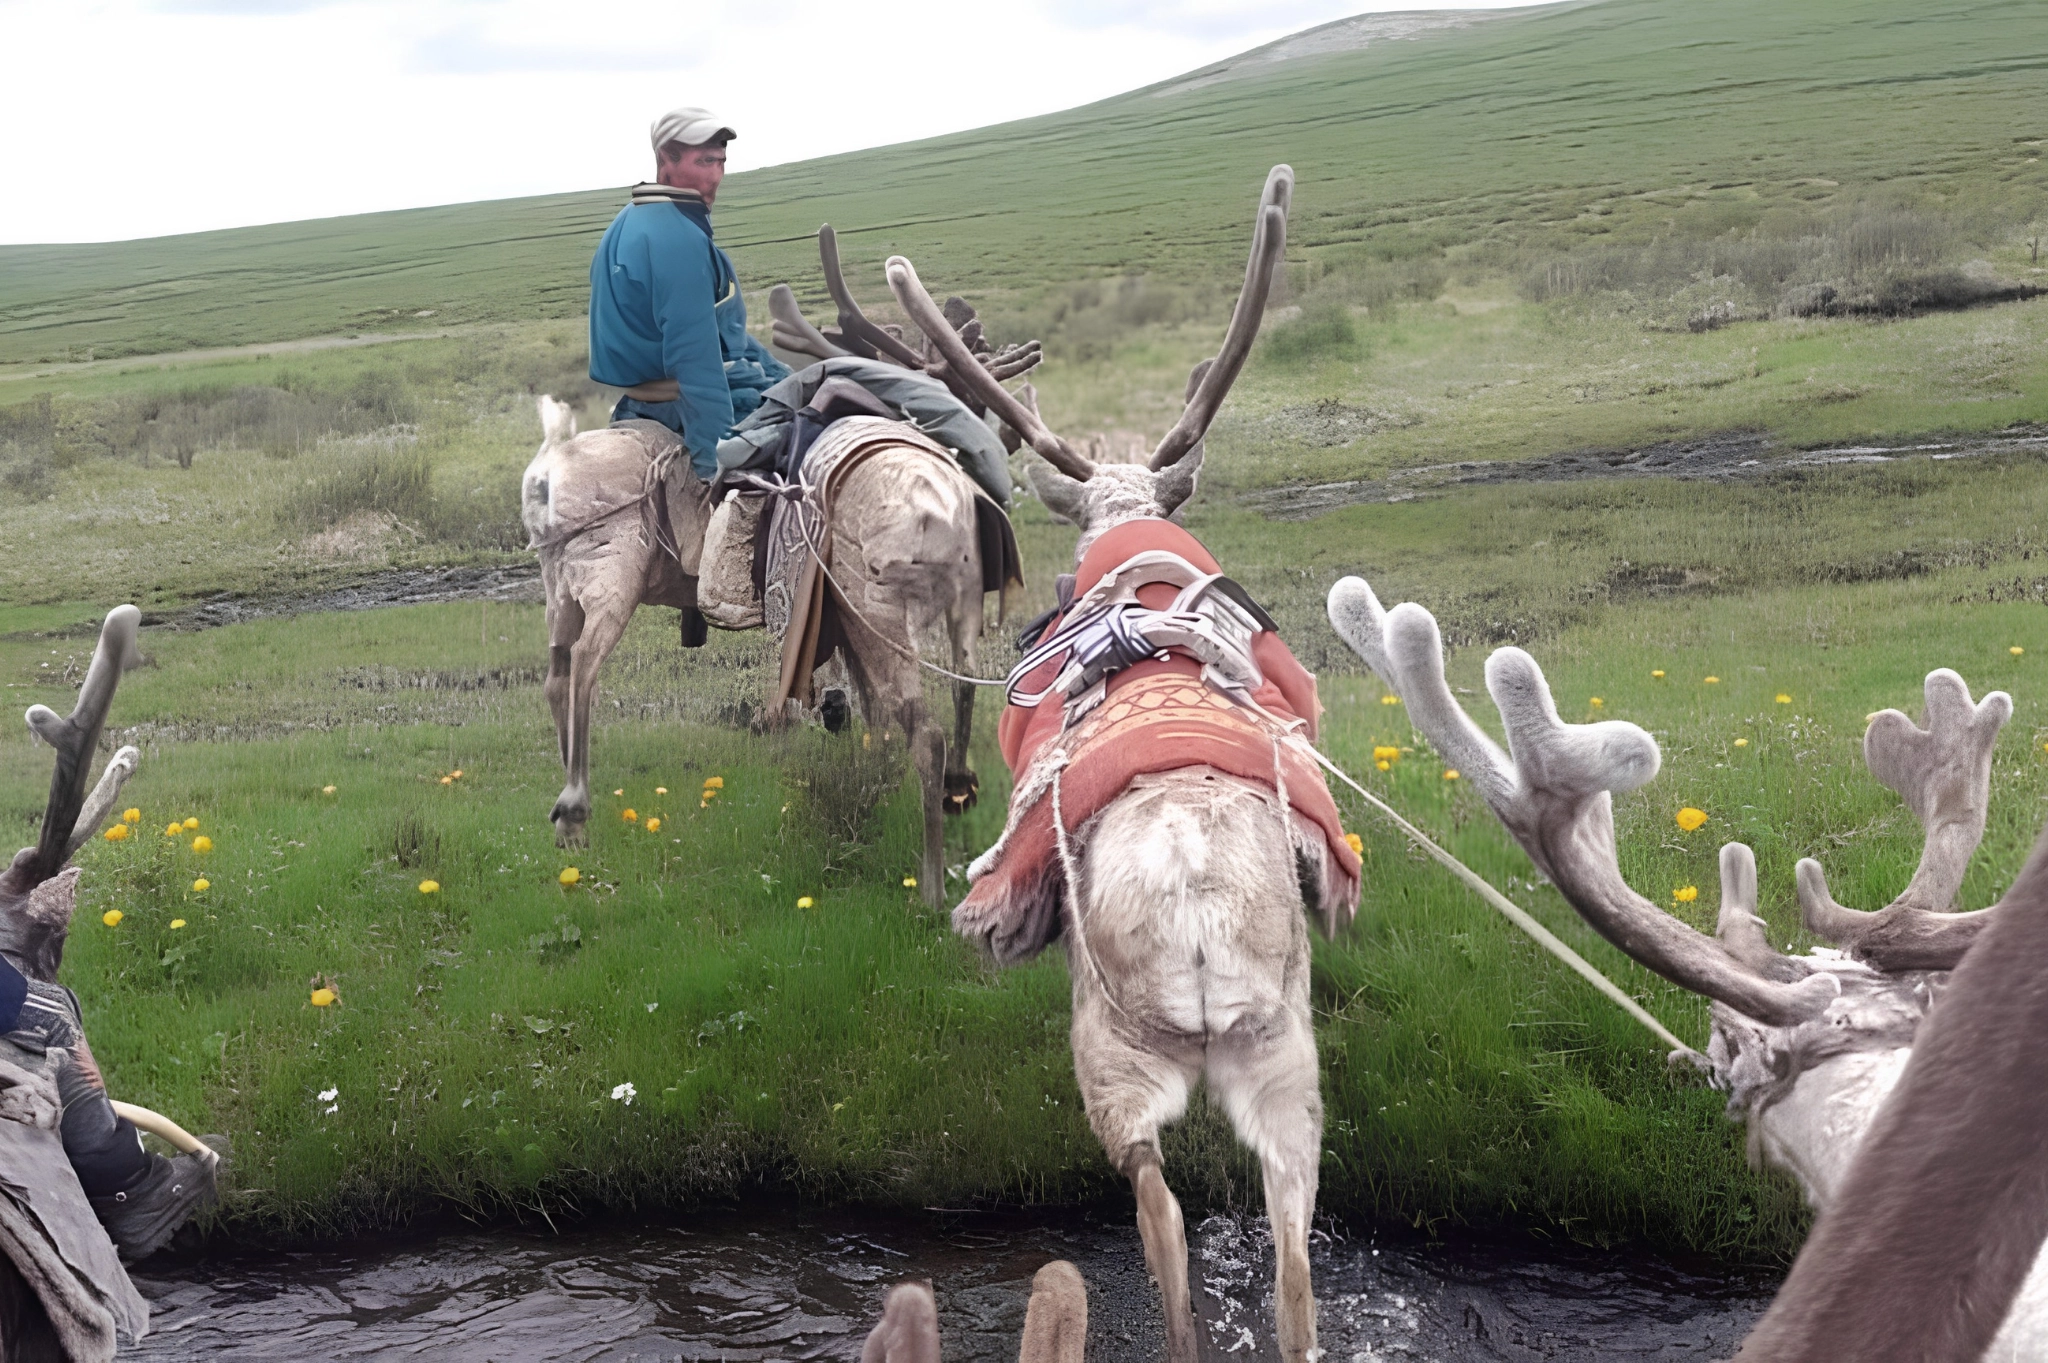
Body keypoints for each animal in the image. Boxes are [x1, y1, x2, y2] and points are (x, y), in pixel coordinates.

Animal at [522, 237, 1036, 905]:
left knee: (556, 674)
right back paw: (576, 805)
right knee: (584, 666)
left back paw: (566, 812)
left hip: (560, 586)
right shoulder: (848, 612)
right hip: (614, 578)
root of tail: (543, 475)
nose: (1004, 444)